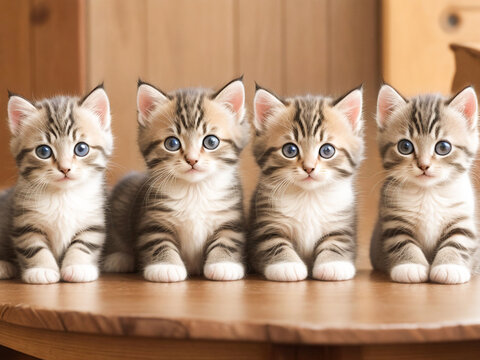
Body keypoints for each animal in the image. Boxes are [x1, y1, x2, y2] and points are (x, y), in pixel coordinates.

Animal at [0, 85, 112, 284]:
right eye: (43, 151)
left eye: (81, 148)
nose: (65, 168)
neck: (63, 196)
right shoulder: (24, 221)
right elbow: (33, 246)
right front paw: (42, 270)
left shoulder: (93, 219)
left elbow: (85, 243)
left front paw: (78, 267)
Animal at [103, 77, 249, 282]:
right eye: (172, 143)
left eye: (211, 142)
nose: (192, 159)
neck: (194, 190)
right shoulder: (153, 217)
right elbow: (158, 242)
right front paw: (165, 267)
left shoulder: (230, 216)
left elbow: (228, 239)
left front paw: (223, 264)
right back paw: (119, 258)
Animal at [248, 85, 364, 282]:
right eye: (290, 150)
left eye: (327, 150)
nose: (309, 168)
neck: (308, 195)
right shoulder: (266, 222)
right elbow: (275, 243)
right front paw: (287, 265)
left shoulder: (342, 222)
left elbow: (337, 242)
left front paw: (333, 264)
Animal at [370, 84, 478, 284]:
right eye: (405, 147)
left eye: (443, 147)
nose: (424, 165)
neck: (429, 192)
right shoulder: (393, 218)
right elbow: (402, 242)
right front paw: (410, 266)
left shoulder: (463, 218)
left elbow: (458, 241)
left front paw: (449, 266)